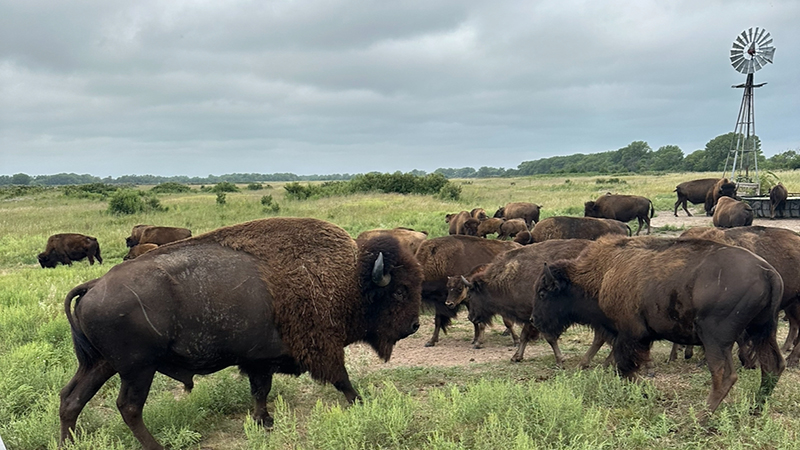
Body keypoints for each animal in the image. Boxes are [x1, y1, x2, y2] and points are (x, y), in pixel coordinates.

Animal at [59, 218, 422, 450]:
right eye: (399, 291)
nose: (415, 325)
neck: (349, 280)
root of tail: (94, 285)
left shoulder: (259, 360)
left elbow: (260, 391)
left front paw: (264, 421)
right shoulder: (321, 349)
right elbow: (341, 379)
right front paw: (361, 402)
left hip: (101, 364)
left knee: (70, 399)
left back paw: (69, 443)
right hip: (137, 369)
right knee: (129, 407)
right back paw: (158, 447)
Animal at [532, 235, 784, 414]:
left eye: (543, 293)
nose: (534, 320)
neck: (604, 274)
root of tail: (768, 273)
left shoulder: (630, 335)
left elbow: (625, 368)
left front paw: (647, 393)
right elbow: (626, 369)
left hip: (716, 339)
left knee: (724, 376)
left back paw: (699, 419)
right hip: (763, 330)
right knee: (773, 366)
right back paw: (754, 409)